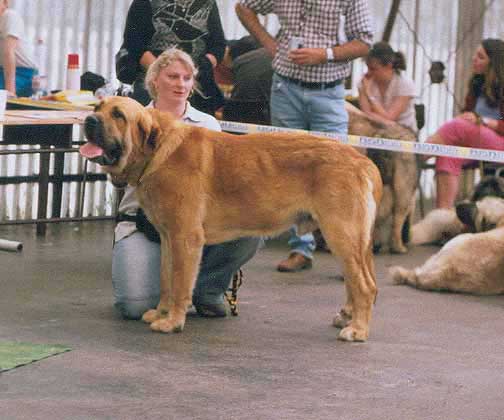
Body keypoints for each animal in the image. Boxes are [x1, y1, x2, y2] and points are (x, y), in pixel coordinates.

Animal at [81, 97, 382, 342]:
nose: (89, 120)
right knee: (359, 281)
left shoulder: (185, 238)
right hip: (350, 240)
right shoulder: (168, 238)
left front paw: (173, 321)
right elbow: (166, 280)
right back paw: (347, 317)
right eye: (98, 108)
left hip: (341, 234)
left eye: (118, 114)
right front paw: (160, 313)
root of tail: (362, 161)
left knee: (365, 285)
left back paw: (357, 330)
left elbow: (179, 284)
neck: (158, 150)